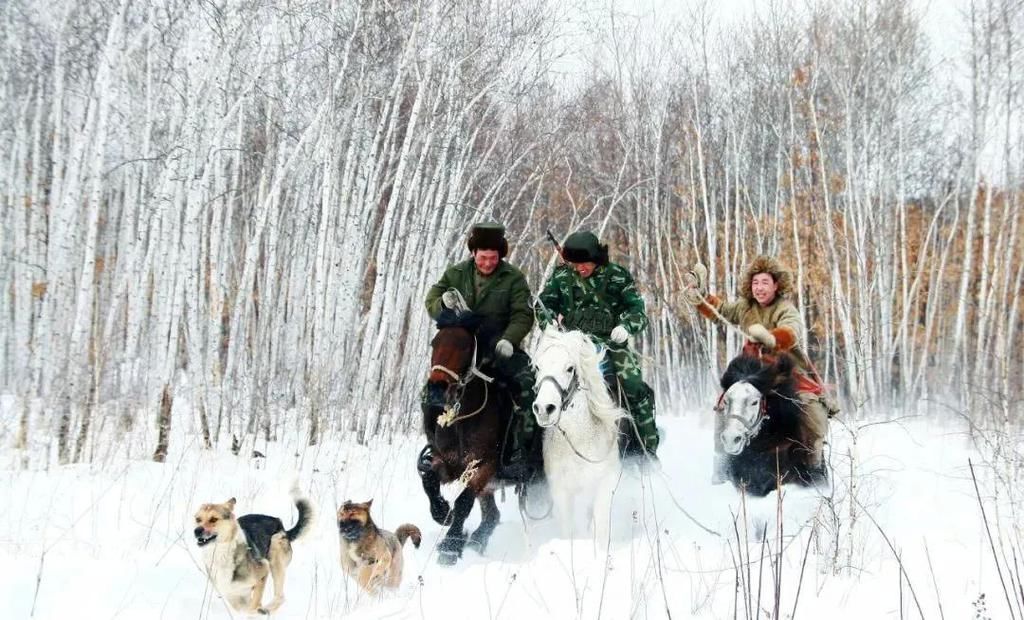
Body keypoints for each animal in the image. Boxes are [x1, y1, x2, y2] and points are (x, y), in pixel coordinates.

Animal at [532, 325, 626, 545]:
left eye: (570, 368)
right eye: (538, 367)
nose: (544, 409)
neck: (580, 442)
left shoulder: (604, 486)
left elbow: (601, 531)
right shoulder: (561, 492)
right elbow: (568, 531)